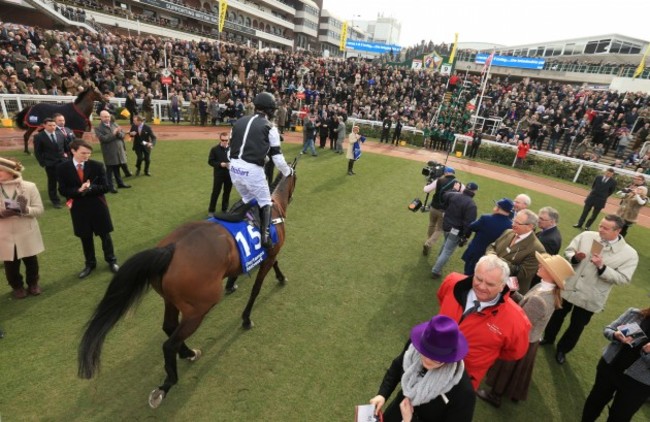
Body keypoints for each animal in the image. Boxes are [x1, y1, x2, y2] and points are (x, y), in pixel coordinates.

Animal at [77, 159, 298, 408]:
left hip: (171, 299)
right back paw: (167, 383)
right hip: (199, 307)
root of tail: (170, 249)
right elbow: (257, 288)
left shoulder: (267, 255)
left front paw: (244, 281)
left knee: (169, 327)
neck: (273, 208)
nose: (291, 196)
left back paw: (188, 353)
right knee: (169, 343)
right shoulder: (269, 255)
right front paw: (248, 316)